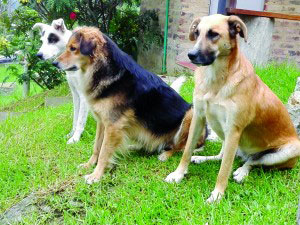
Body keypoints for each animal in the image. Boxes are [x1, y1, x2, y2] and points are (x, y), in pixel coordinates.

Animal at [53, 27, 206, 184]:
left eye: (73, 48)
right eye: (67, 47)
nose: (54, 63)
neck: (105, 70)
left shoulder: (113, 125)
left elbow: (104, 152)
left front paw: (96, 175)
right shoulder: (102, 122)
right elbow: (97, 147)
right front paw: (89, 165)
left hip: (191, 114)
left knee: (181, 147)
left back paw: (165, 154)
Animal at [165, 14, 298, 203]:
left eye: (214, 34)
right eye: (197, 33)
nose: (191, 55)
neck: (215, 80)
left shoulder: (234, 130)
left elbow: (224, 170)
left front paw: (217, 194)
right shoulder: (199, 118)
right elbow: (187, 151)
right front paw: (178, 174)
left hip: (286, 150)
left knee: (253, 162)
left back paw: (242, 172)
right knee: (224, 156)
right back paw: (203, 158)